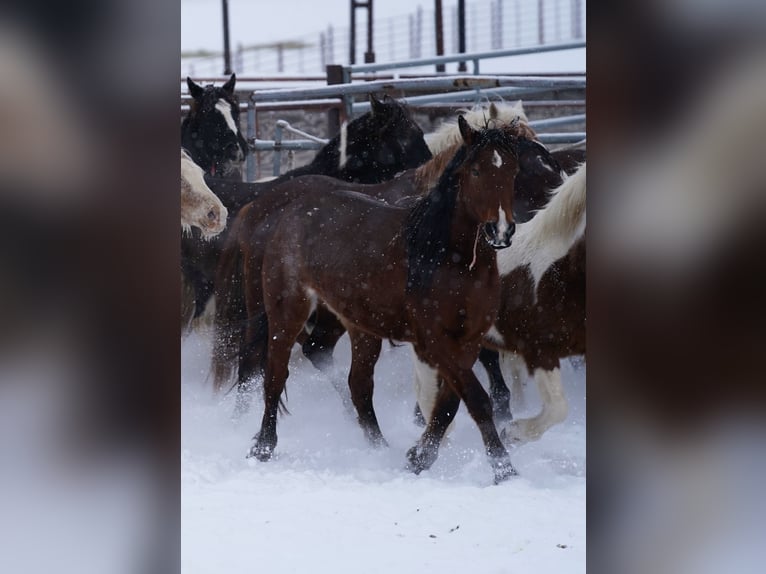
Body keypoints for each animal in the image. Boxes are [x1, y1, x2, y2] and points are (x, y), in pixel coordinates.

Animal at [249, 118, 524, 486]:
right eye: (476, 170)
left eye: (512, 170)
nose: (501, 231)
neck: (447, 259)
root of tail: (289, 213)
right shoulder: (435, 340)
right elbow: (476, 399)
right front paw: (504, 469)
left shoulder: (468, 341)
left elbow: (449, 404)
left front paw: (418, 458)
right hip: (287, 313)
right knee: (276, 376)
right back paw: (263, 447)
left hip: (359, 326)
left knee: (358, 385)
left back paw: (379, 449)